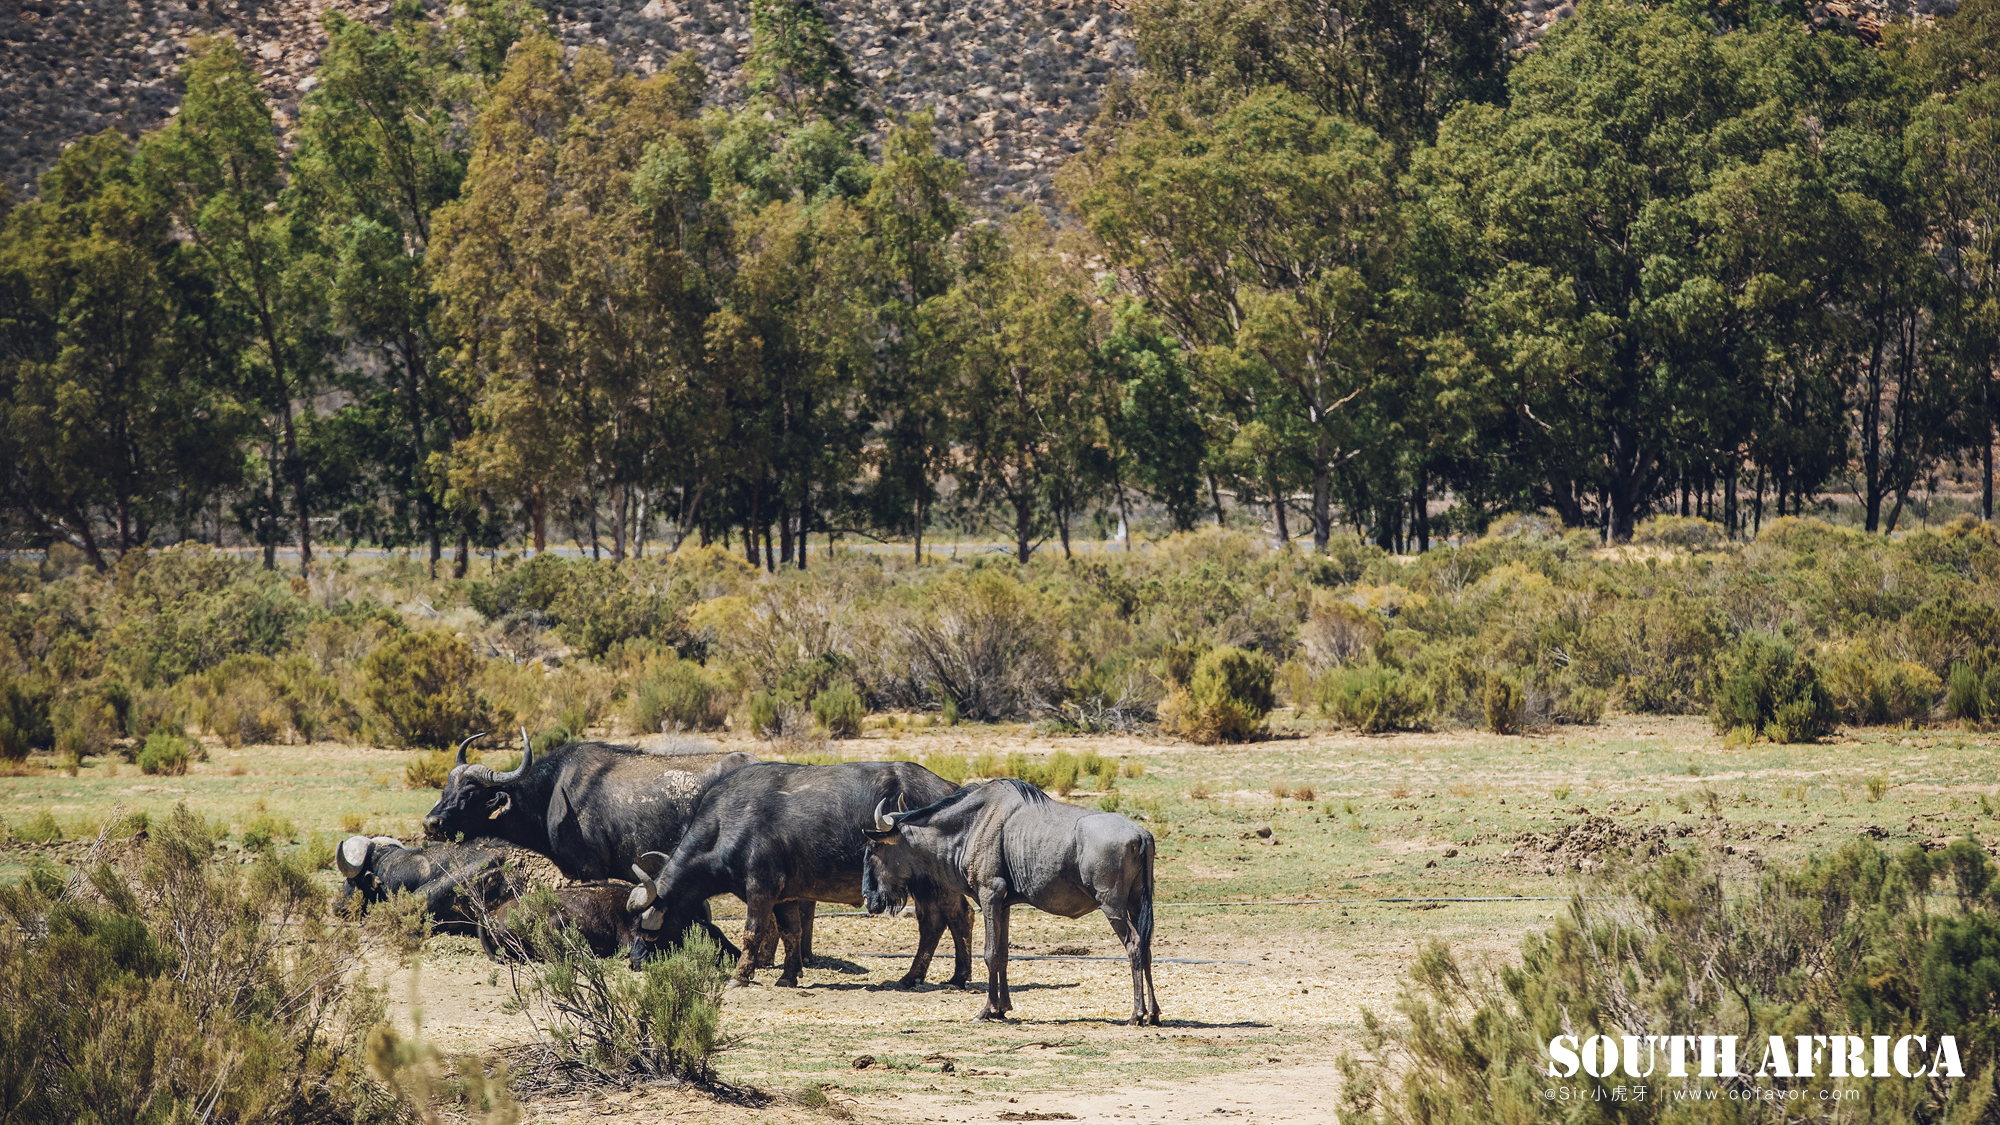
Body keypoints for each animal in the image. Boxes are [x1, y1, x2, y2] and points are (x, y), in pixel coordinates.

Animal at [624, 756, 968, 984]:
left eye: (651, 932)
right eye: (635, 928)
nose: (634, 960)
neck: (728, 823)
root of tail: (949, 788)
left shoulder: (760, 889)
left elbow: (752, 932)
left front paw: (740, 976)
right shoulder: (784, 896)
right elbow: (791, 931)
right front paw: (789, 976)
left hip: (932, 882)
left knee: (947, 920)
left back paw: (935, 976)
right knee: (947, 920)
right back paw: (936, 976)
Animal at [856, 776, 1160, 1020]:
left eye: (873, 848)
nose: (869, 899)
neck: (972, 825)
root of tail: (1141, 834)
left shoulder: (990, 894)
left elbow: (990, 953)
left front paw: (986, 1010)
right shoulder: (1003, 905)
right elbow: (1002, 954)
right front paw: (1002, 1008)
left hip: (1112, 905)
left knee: (1134, 944)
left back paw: (1136, 1013)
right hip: (1135, 904)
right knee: (1146, 947)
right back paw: (1153, 1014)